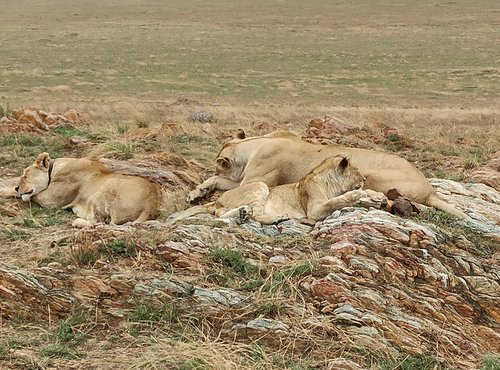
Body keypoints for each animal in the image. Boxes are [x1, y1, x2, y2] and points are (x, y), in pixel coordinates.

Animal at [15, 152, 161, 227]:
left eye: (25, 175)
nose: (17, 187)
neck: (54, 168)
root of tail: (151, 204)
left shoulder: (50, 200)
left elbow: (31, 196)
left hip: (105, 190)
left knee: (100, 223)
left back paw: (77, 222)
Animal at [188, 130, 468, 218]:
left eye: (217, 163)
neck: (255, 144)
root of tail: (430, 190)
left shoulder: (256, 179)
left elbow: (224, 182)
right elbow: (217, 181)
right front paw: (196, 193)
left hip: (371, 174)